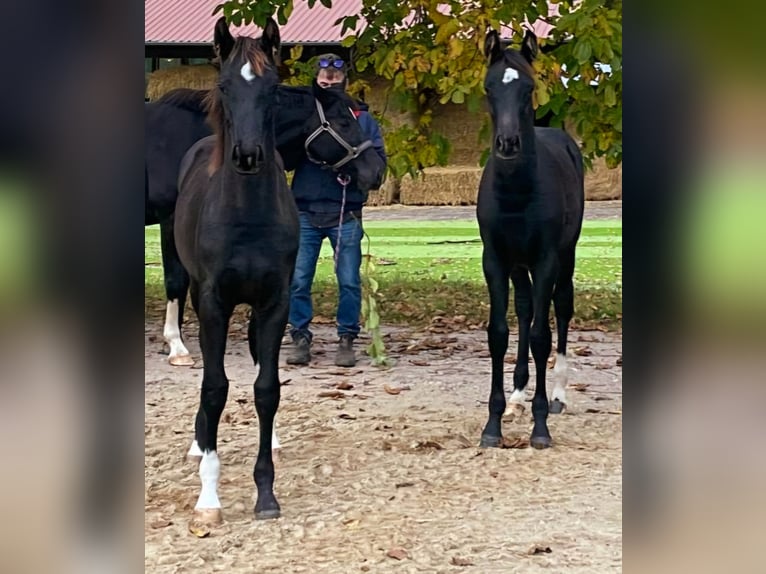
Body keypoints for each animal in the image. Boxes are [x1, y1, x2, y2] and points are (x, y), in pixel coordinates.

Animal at [177, 18, 388, 524]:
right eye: (224, 85)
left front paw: (266, 492)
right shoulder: (213, 303)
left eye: (271, 88)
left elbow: (267, 388)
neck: (246, 216)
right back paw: (198, 440)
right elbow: (214, 388)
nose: (248, 155)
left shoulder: (274, 301)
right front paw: (209, 498)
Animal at [480, 29, 588, 452]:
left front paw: (540, 427)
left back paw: (557, 395)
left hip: (565, 257)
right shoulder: (495, 260)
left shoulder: (545, 260)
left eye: (528, 88)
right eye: (489, 87)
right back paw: (517, 396)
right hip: (518, 264)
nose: (508, 144)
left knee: (560, 309)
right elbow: (499, 333)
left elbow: (543, 336)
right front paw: (493, 423)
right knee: (525, 310)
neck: (516, 192)